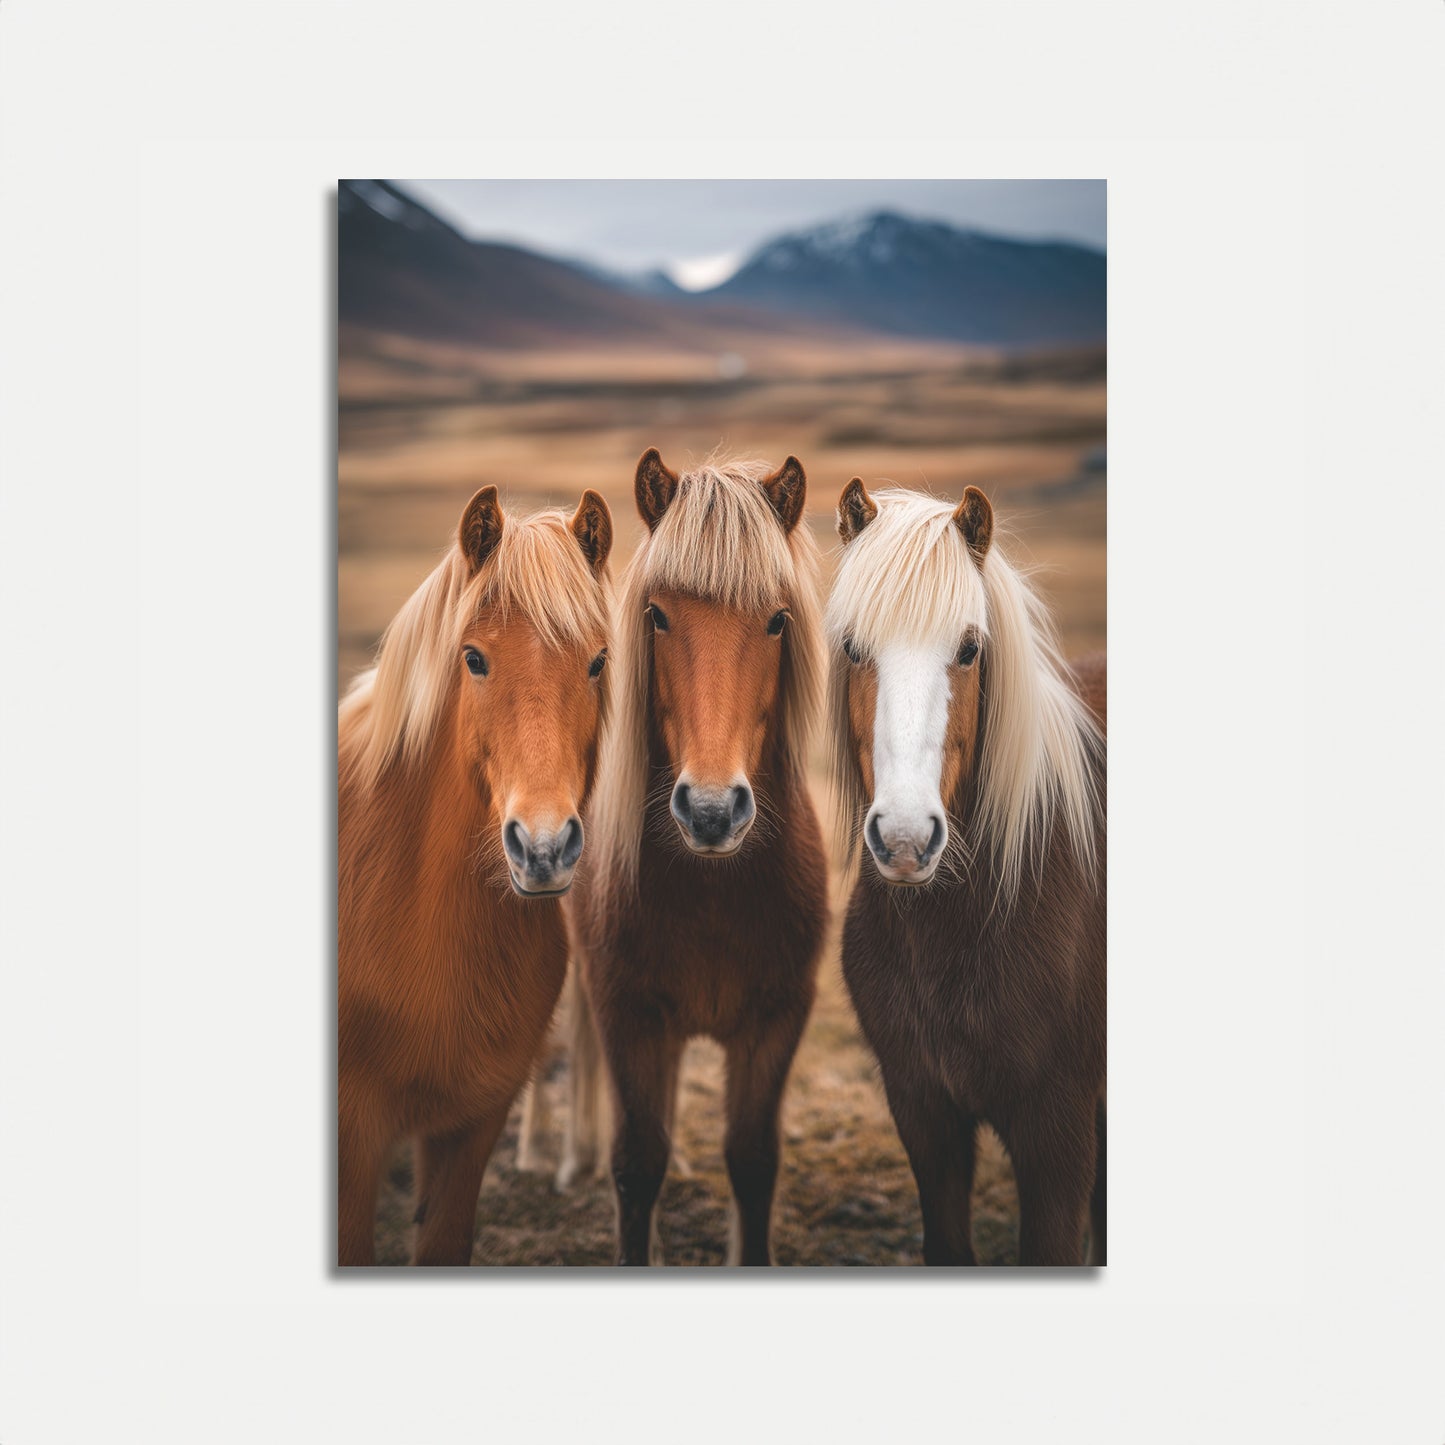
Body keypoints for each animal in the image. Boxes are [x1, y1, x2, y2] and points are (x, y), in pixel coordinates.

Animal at [559, 449, 829, 1265]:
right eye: (656, 615)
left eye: (776, 619)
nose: (711, 810)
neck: (711, 894)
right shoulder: (627, 1011)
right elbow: (636, 1160)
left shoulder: (778, 1016)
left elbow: (753, 1159)